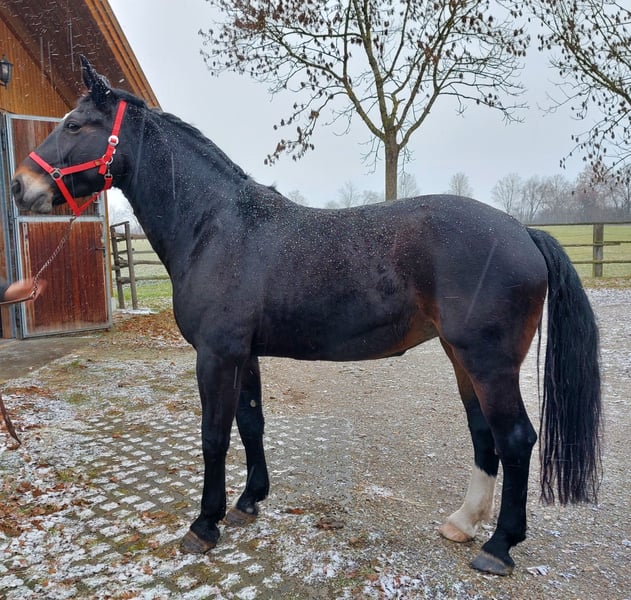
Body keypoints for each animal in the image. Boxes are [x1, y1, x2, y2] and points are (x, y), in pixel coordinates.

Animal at [11, 56, 602, 576]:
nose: (19, 185)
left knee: (516, 439)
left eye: (74, 125)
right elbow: (250, 423)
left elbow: (213, 434)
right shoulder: (242, 354)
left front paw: (204, 524)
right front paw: (248, 501)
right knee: (485, 435)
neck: (215, 226)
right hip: (462, 358)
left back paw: (499, 547)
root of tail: (522, 231)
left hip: (488, 363)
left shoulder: (216, 355)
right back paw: (463, 523)